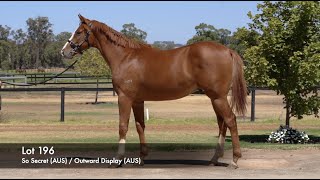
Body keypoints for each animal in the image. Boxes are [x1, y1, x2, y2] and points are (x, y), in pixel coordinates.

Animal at [60, 14, 248, 169]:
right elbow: (140, 126)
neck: (125, 57)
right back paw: (214, 159)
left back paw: (234, 160)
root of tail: (228, 50)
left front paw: (118, 159)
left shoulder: (124, 98)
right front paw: (142, 157)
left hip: (218, 97)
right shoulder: (137, 100)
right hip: (215, 98)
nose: (64, 51)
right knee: (222, 123)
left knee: (230, 120)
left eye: (79, 32)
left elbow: (123, 126)